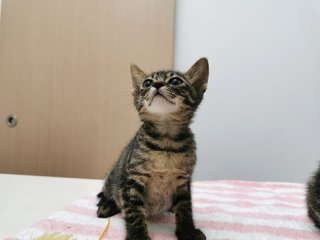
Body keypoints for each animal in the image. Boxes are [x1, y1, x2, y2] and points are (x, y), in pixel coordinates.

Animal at [96, 58, 209, 240]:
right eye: (147, 83)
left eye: (175, 81)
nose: (157, 84)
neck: (166, 143)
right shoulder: (132, 180)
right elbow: (134, 212)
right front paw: (138, 237)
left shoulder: (183, 181)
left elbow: (185, 208)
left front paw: (187, 231)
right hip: (113, 177)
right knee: (108, 192)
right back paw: (106, 205)